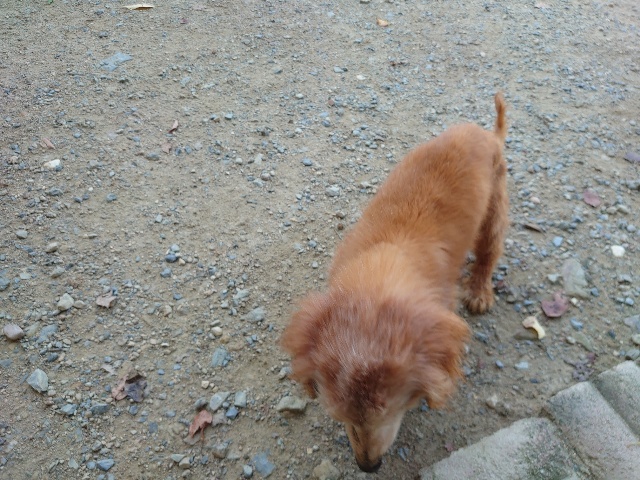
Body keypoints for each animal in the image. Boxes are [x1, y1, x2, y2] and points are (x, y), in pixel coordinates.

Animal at [281, 93, 508, 473]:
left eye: (388, 411)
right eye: (341, 415)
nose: (367, 466)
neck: (378, 279)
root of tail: (486, 133)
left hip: (495, 205)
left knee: (489, 248)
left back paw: (480, 291)